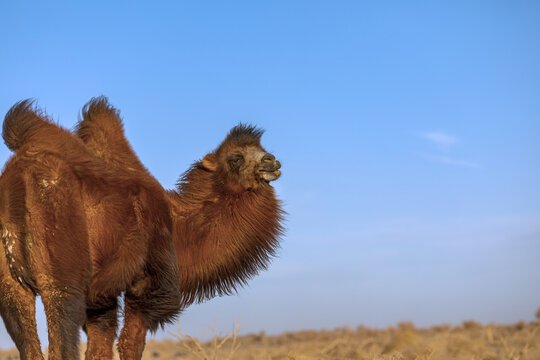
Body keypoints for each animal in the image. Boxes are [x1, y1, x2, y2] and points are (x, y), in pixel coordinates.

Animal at [0, 101, 181, 360]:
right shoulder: (155, 267)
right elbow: (133, 332)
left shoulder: (101, 296)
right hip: (63, 281)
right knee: (63, 335)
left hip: (11, 287)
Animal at [76, 97, 284, 358]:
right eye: (235, 158)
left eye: (263, 149)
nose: (271, 160)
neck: (177, 224)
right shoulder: (146, 284)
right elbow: (127, 341)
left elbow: (102, 342)